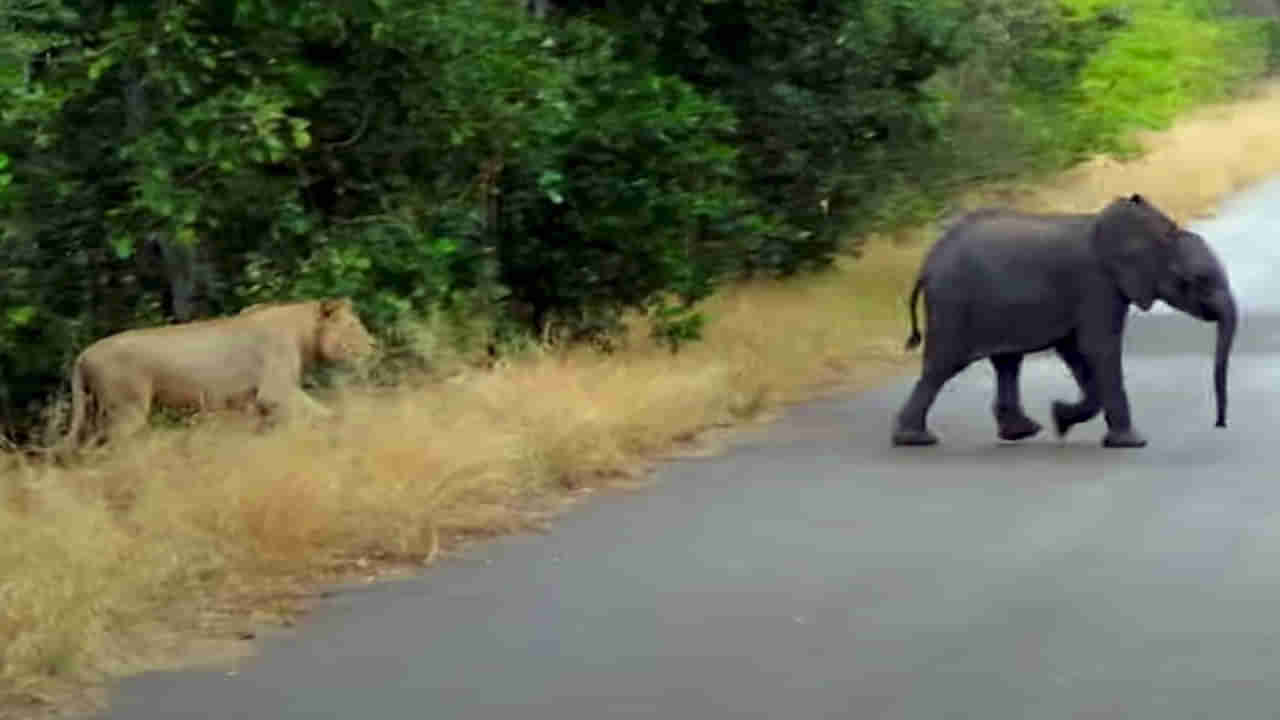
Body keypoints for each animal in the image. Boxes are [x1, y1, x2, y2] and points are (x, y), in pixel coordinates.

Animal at [896, 193, 1233, 445]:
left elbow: (1076, 351)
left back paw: (1021, 433)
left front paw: (1060, 418)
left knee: (1006, 361)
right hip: (953, 302)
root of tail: (928, 262)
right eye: (1197, 280)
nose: (1219, 424)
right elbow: (1098, 348)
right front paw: (1131, 442)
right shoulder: (1098, 285)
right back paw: (915, 439)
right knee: (943, 365)